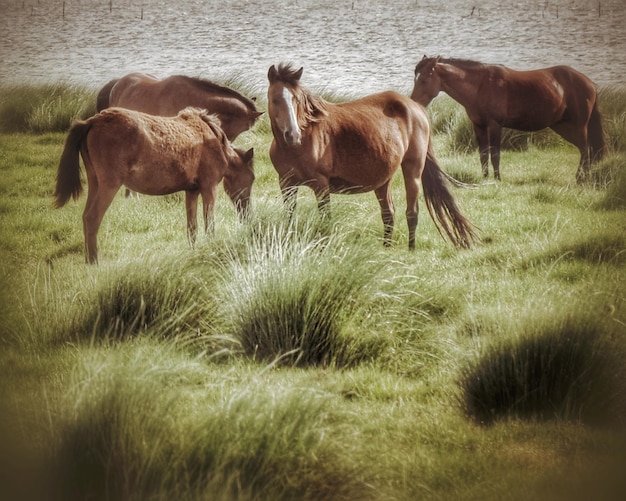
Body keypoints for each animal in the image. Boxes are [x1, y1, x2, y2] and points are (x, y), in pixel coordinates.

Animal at [54, 107, 254, 264]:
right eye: (252, 178)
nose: (247, 214)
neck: (214, 140)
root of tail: (92, 121)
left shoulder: (192, 191)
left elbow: (192, 229)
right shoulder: (209, 189)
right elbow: (209, 226)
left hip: (95, 183)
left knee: (86, 217)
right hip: (109, 185)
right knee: (92, 218)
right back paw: (94, 261)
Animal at [266, 63, 476, 249]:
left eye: (296, 100)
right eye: (275, 99)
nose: (293, 135)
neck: (297, 147)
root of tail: (416, 108)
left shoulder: (321, 185)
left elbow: (325, 219)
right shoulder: (286, 184)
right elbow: (290, 217)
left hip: (413, 169)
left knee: (412, 212)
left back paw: (411, 248)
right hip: (384, 180)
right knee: (389, 213)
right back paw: (386, 247)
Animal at [408, 56, 604, 182]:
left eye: (424, 80)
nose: (413, 102)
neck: (480, 85)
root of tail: (589, 83)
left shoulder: (495, 125)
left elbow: (495, 153)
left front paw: (497, 178)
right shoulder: (478, 125)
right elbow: (483, 153)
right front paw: (485, 177)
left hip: (577, 126)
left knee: (586, 149)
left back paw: (580, 178)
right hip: (562, 126)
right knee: (586, 150)